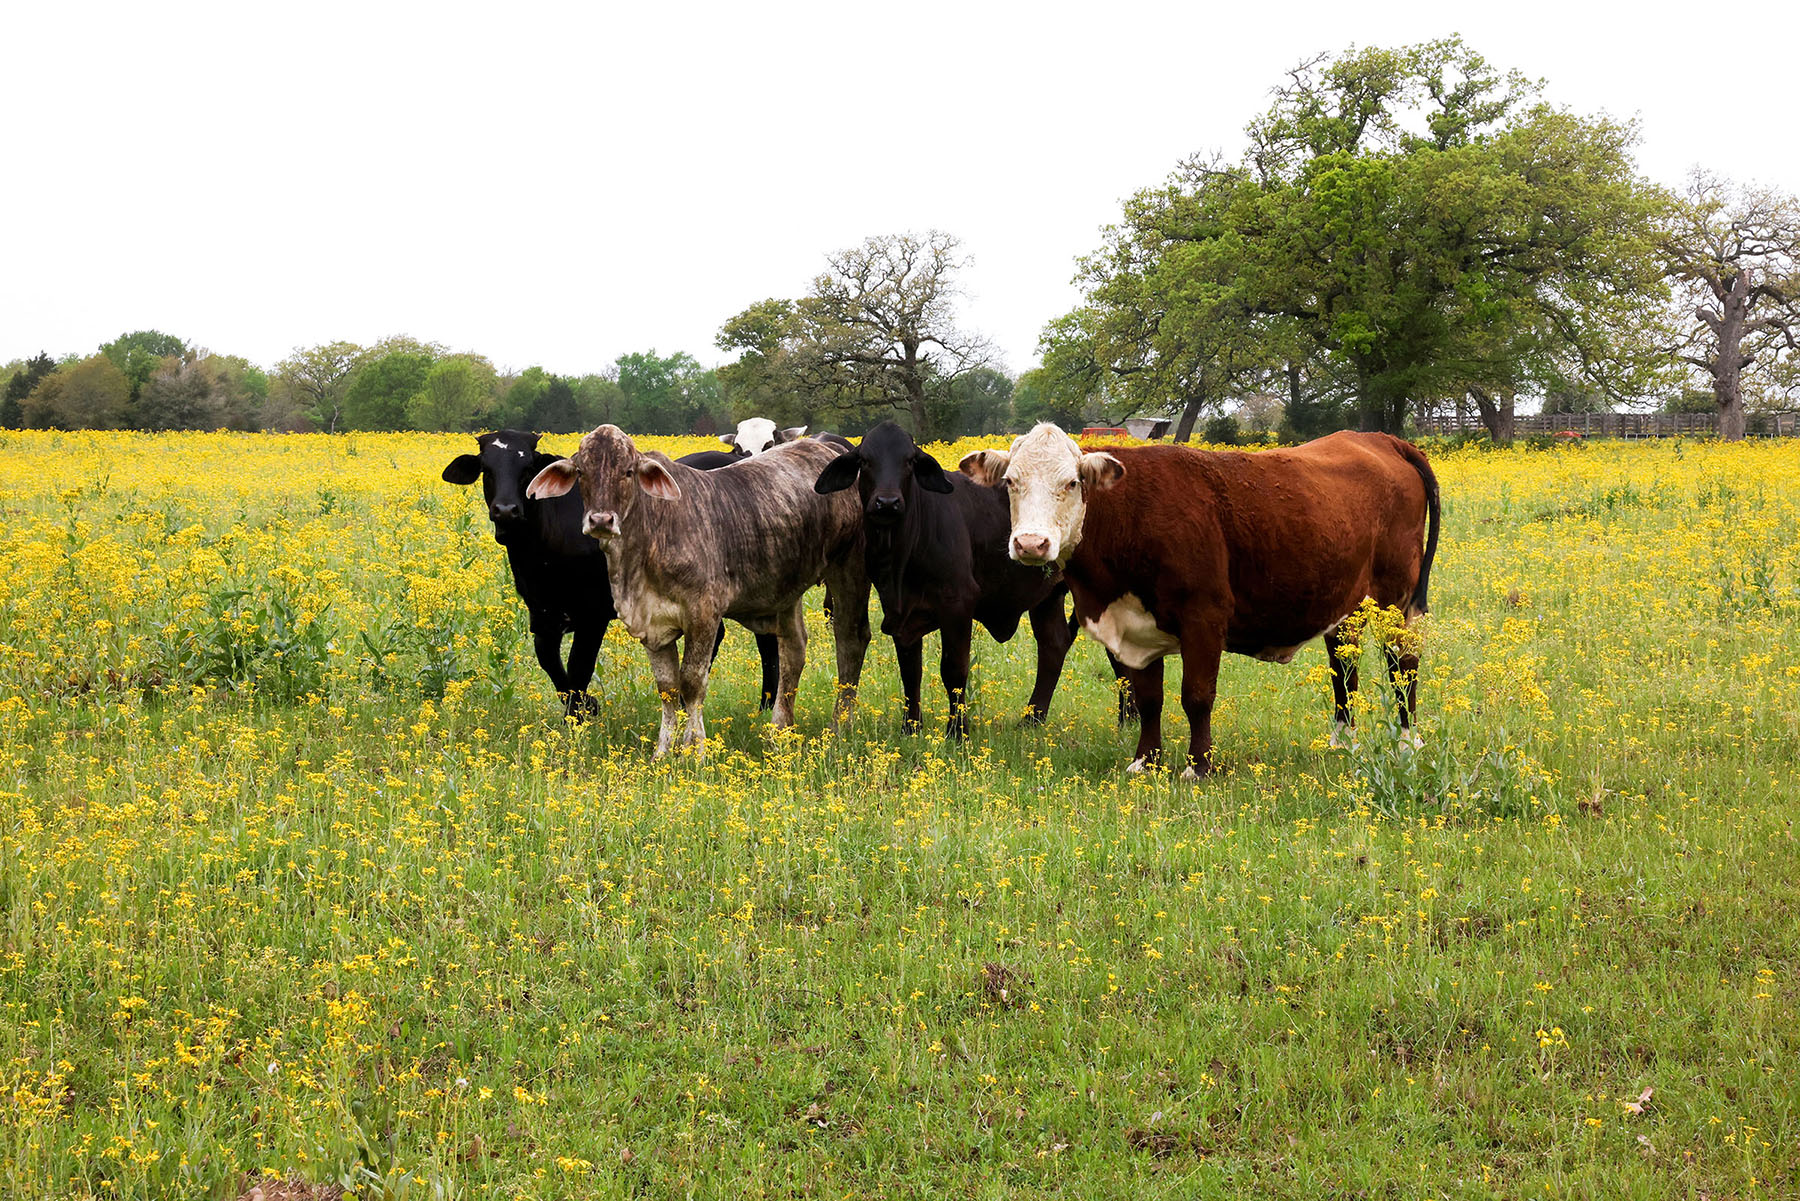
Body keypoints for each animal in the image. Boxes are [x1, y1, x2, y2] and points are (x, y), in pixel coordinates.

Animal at [441, 430, 774, 720]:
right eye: (486, 468)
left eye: (527, 468)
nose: (506, 510)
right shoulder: (542, 615)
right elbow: (553, 667)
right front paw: (587, 707)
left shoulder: (593, 615)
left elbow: (578, 667)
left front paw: (577, 720)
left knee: (767, 642)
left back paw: (766, 708)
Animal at [525, 426, 867, 756]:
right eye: (582, 472)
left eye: (628, 471)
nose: (600, 520)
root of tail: (827, 447)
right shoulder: (651, 623)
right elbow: (667, 688)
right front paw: (662, 752)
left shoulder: (703, 615)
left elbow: (691, 683)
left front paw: (695, 749)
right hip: (785, 590)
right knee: (793, 650)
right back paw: (779, 731)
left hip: (849, 568)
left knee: (851, 640)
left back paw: (840, 729)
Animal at [813, 423, 1072, 741]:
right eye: (865, 461)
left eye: (909, 461)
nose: (887, 503)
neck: (899, 555)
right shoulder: (898, 612)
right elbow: (910, 671)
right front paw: (910, 727)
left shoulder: (958, 604)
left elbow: (954, 669)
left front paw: (958, 731)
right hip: (1048, 597)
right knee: (1053, 645)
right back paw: (1031, 719)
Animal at [964, 424, 1440, 781]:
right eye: (1010, 483)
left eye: (1072, 482)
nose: (1031, 543)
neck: (1130, 515)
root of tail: (1379, 439)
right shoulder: (1136, 627)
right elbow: (1149, 697)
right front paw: (1146, 760)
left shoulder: (1204, 616)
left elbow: (1196, 695)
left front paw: (1199, 766)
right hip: (1348, 602)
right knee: (1344, 663)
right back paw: (1343, 741)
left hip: (1398, 600)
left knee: (1403, 664)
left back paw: (1406, 742)